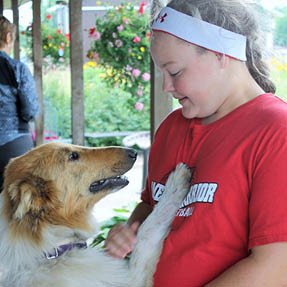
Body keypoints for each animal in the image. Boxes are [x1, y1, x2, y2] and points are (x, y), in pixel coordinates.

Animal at [0, 143, 192, 286]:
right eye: (73, 156)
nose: (133, 152)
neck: (52, 248)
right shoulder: (132, 279)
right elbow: (147, 231)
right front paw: (177, 181)